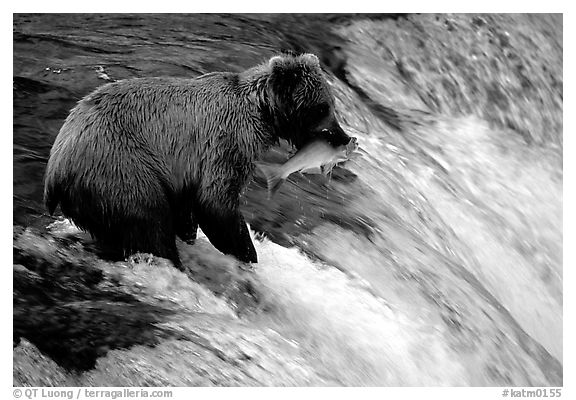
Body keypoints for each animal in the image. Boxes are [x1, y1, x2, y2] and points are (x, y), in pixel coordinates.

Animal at [42, 52, 354, 266]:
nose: (343, 136)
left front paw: (192, 233)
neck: (261, 113)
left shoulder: (185, 168)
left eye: (331, 104)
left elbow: (188, 204)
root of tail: (55, 170)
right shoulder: (225, 142)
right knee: (149, 223)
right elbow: (216, 201)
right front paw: (247, 252)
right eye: (322, 107)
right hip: (120, 166)